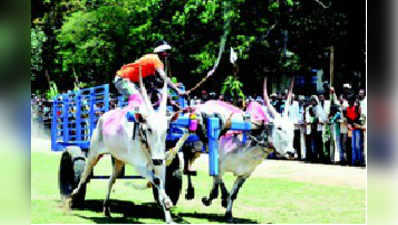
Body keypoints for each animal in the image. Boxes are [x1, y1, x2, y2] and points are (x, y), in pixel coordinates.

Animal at [70, 74, 176, 223]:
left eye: (166, 130)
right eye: (149, 129)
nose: (157, 160)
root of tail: (102, 117)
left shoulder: (160, 165)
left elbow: (160, 182)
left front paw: (168, 214)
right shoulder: (139, 166)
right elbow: (156, 180)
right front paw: (167, 202)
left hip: (118, 161)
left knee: (111, 180)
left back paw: (106, 208)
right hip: (93, 155)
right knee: (85, 174)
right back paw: (74, 194)